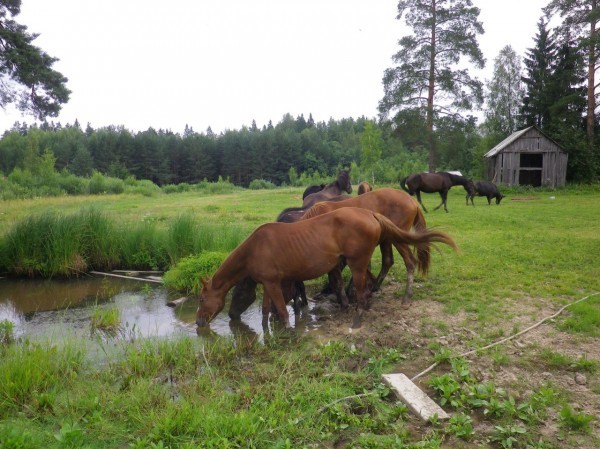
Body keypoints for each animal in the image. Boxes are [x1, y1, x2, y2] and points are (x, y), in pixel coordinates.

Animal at [197, 205, 454, 328]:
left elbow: (282, 311)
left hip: (358, 264)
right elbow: (266, 310)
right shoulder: (270, 283)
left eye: (201, 299)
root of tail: (370, 213)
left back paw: (357, 320)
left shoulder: (273, 283)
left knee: (363, 291)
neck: (255, 247)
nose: (198, 322)